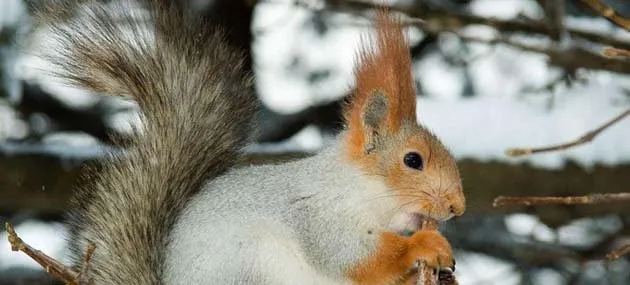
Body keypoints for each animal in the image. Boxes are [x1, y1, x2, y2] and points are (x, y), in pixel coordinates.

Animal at [35, 1, 470, 282]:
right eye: (412, 160)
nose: (458, 207)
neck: (359, 188)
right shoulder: (318, 216)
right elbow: (356, 255)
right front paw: (425, 246)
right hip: (250, 264)